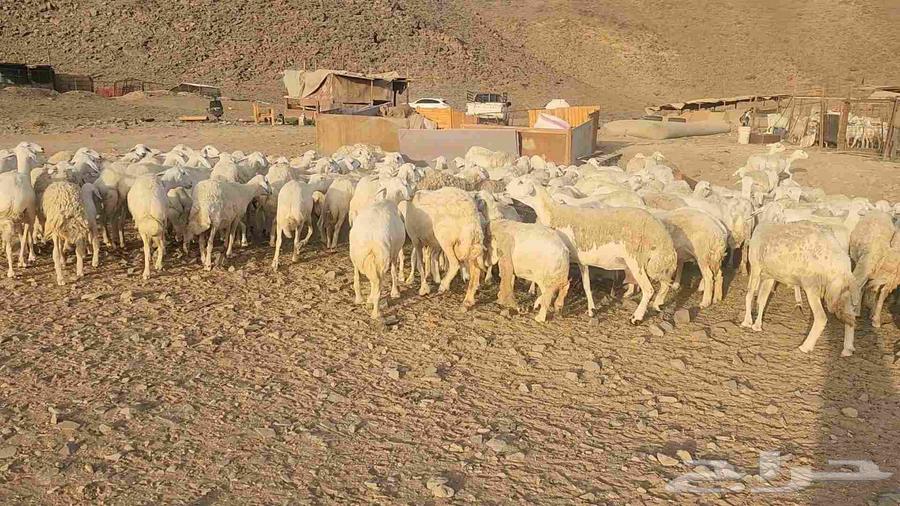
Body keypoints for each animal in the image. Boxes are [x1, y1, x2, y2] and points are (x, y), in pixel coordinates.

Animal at [506, 177, 677, 323]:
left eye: (521, 181)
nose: (506, 188)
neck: (554, 214)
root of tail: (662, 235)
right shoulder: (582, 261)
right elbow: (586, 285)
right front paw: (591, 309)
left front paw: (540, 303)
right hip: (654, 263)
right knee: (665, 283)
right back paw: (658, 304)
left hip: (637, 260)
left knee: (649, 289)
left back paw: (637, 317)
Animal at [741, 222, 857, 356]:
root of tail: (843, 266)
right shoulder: (770, 275)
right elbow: (762, 300)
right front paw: (757, 326)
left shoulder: (755, 266)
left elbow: (749, 295)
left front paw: (747, 322)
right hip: (843, 290)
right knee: (851, 316)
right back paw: (847, 349)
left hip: (812, 285)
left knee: (821, 317)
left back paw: (805, 347)